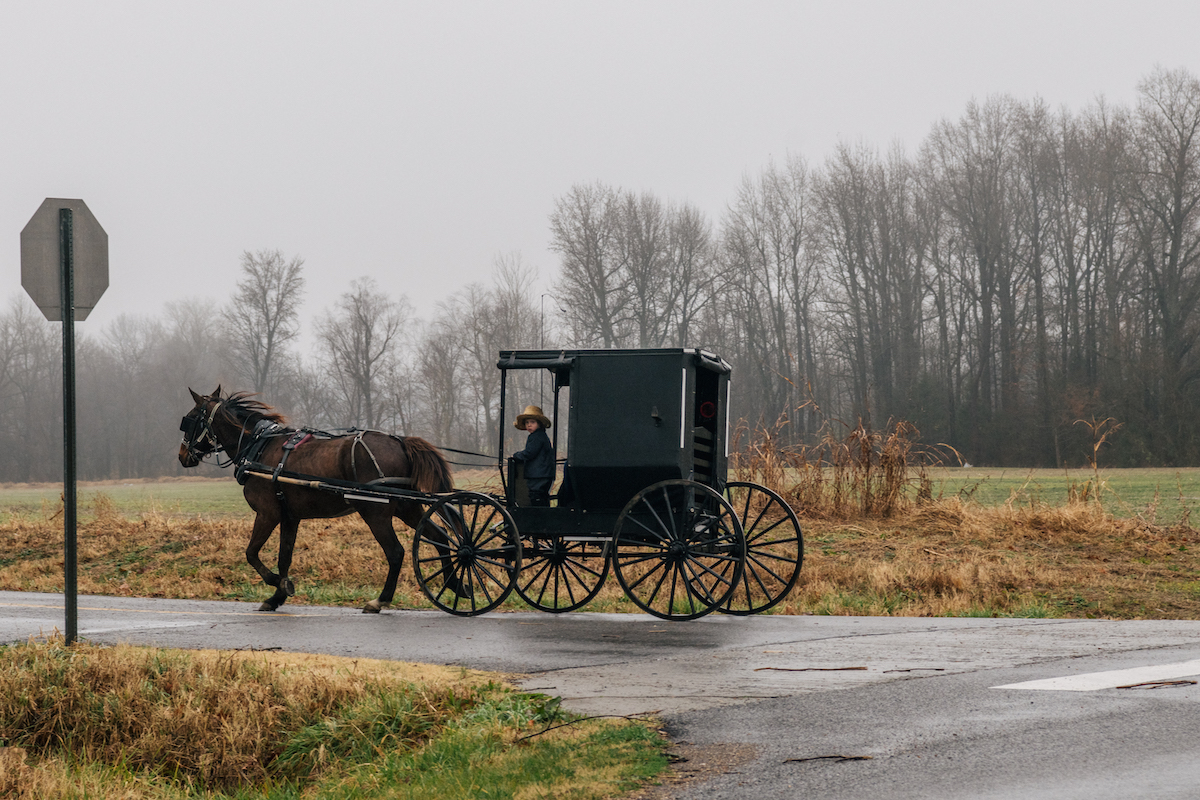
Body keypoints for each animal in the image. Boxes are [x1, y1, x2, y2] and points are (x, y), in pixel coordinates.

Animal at [177, 388, 453, 614]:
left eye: (189, 419)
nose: (182, 455)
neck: (258, 447)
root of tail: (400, 442)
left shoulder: (267, 514)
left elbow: (251, 553)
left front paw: (278, 583)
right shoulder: (289, 517)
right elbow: (284, 557)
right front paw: (277, 597)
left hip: (376, 513)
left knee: (396, 552)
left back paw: (380, 600)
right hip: (407, 507)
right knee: (439, 537)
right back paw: (454, 583)